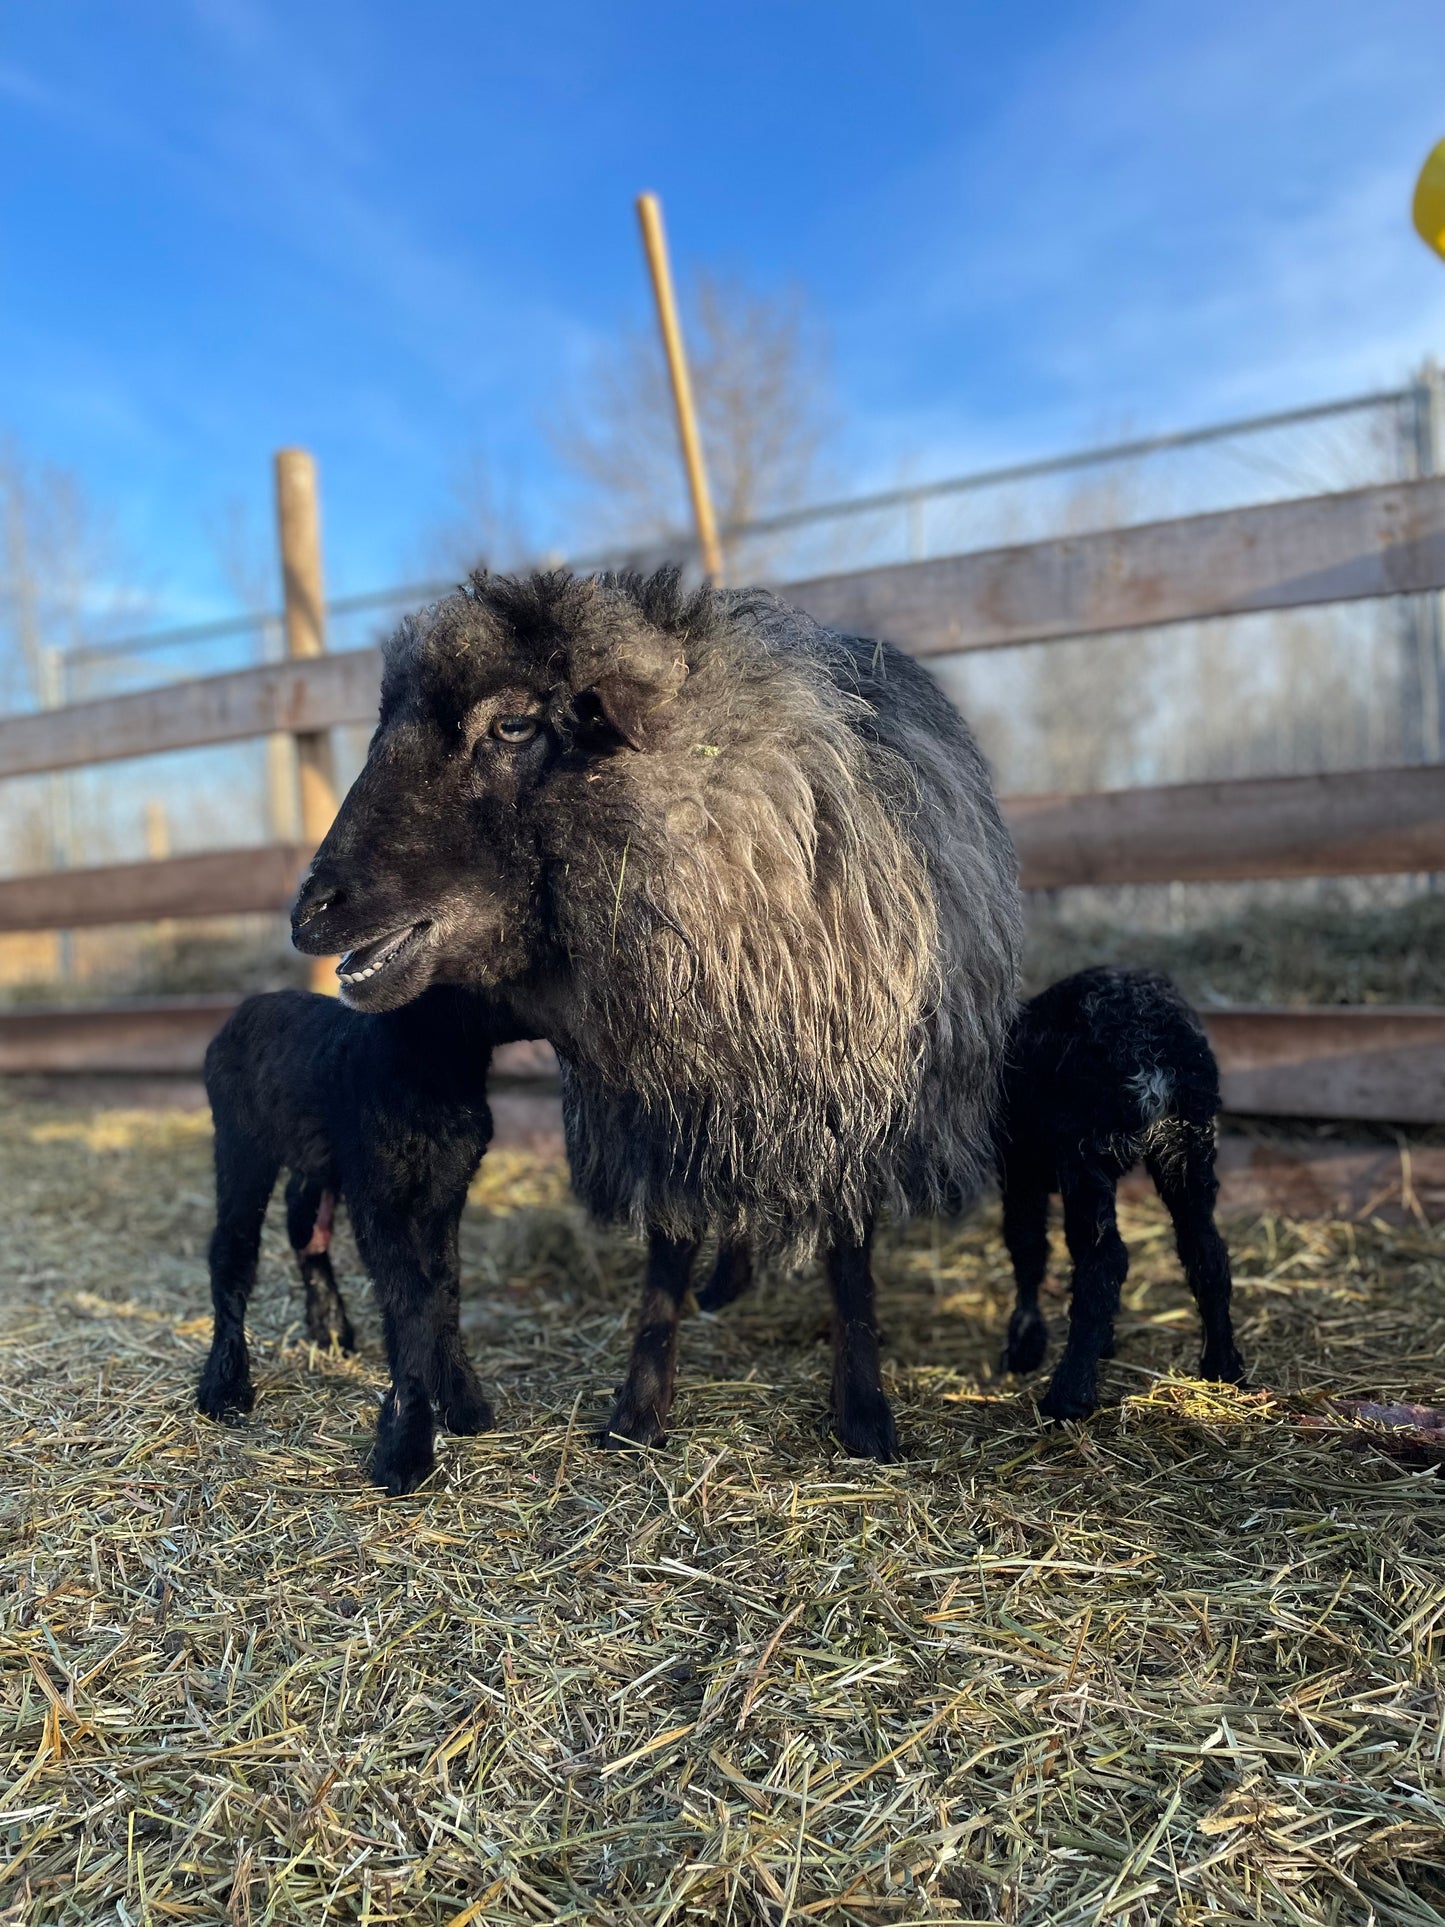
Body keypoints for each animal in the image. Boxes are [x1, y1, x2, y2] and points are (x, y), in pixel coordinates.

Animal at [199, 986, 520, 1495]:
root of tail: (246, 1006)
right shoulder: (375, 1190)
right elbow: (411, 1297)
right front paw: (406, 1445)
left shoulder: (446, 1190)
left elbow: (444, 1286)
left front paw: (463, 1399)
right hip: (241, 1142)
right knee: (233, 1247)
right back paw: (225, 1384)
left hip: (314, 1158)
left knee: (304, 1225)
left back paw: (328, 1324)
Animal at [1001, 963, 1248, 1418]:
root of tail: (1148, 1047)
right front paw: (1103, 1341)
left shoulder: (1018, 1166)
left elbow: (1026, 1246)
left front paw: (1025, 1345)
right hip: (1189, 1142)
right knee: (1205, 1250)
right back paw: (1223, 1366)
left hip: (1085, 1149)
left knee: (1104, 1259)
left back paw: (1067, 1396)